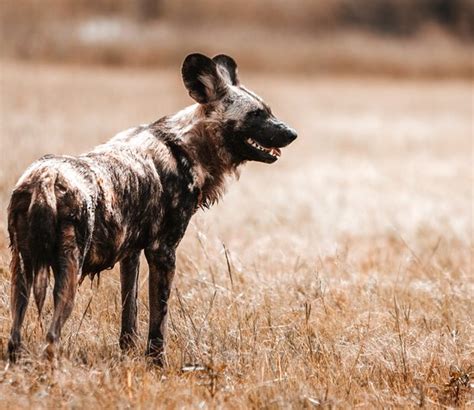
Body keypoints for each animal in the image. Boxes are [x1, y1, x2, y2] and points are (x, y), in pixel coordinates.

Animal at [7, 52, 296, 364]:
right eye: (255, 114)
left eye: (269, 110)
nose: (292, 133)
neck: (186, 147)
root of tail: (45, 179)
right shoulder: (163, 252)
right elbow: (160, 319)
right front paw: (157, 362)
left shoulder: (130, 253)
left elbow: (129, 311)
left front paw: (127, 351)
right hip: (68, 274)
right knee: (51, 337)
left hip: (21, 273)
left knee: (14, 334)